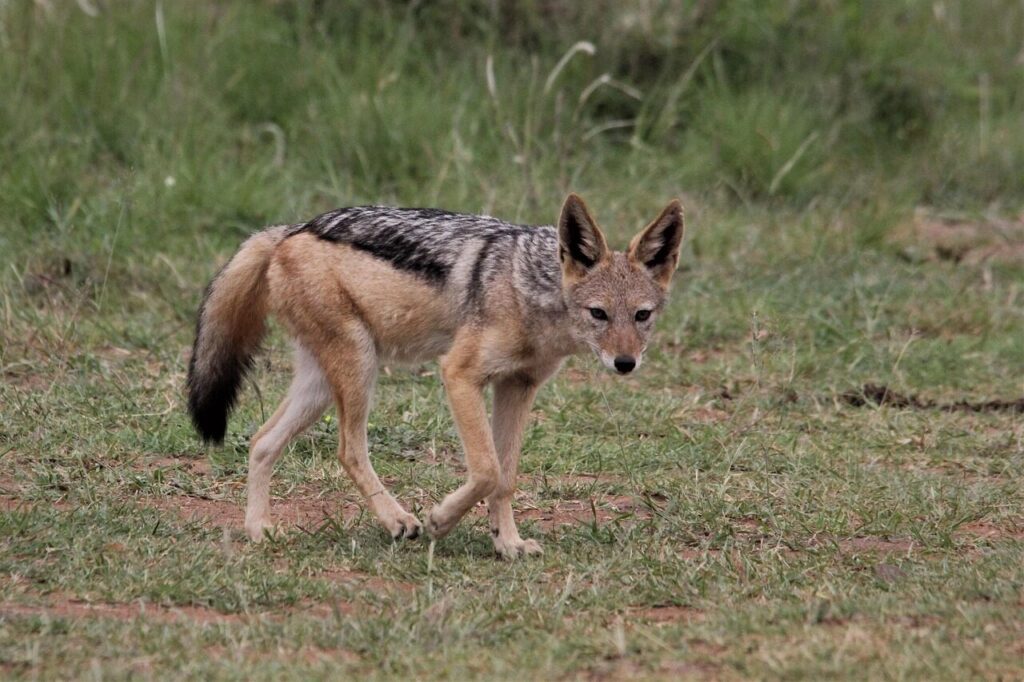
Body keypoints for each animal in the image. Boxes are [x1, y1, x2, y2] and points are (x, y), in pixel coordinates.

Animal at [186, 193, 685, 559]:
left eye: (641, 316)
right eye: (598, 314)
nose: (625, 363)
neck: (527, 292)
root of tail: (287, 231)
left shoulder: (517, 387)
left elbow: (506, 476)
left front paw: (508, 544)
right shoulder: (459, 375)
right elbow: (486, 470)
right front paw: (440, 520)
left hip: (322, 387)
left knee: (261, 441)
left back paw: (260, 530)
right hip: (359, 368)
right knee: (348, 449)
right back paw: (397, 520)